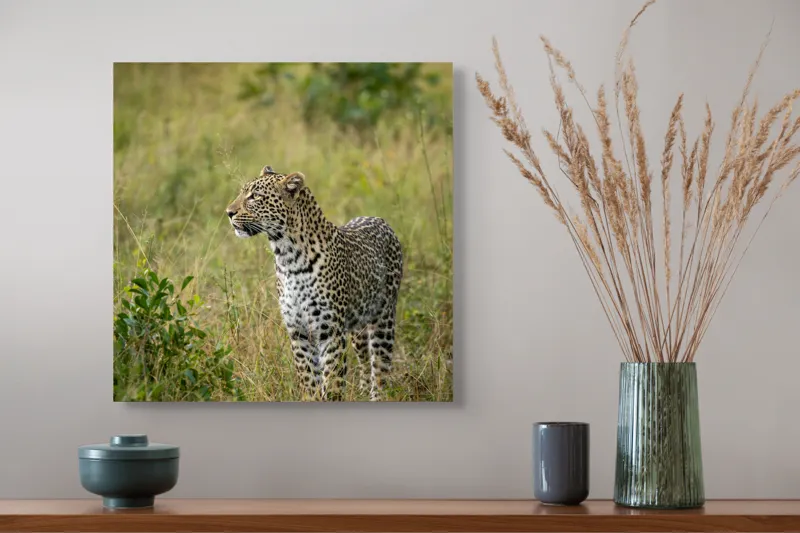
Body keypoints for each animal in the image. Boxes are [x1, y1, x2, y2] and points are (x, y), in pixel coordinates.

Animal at [225, 165, 404, 401]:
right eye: (243, 192)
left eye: (254, 196)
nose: (228, 212)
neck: (287, 257)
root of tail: (380, 220)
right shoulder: (298, 332)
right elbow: (309, 380)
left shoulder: (330, 332)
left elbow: (333, 381)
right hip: (358, 326)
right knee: (365, 361)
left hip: (383, 318)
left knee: (381, 367)